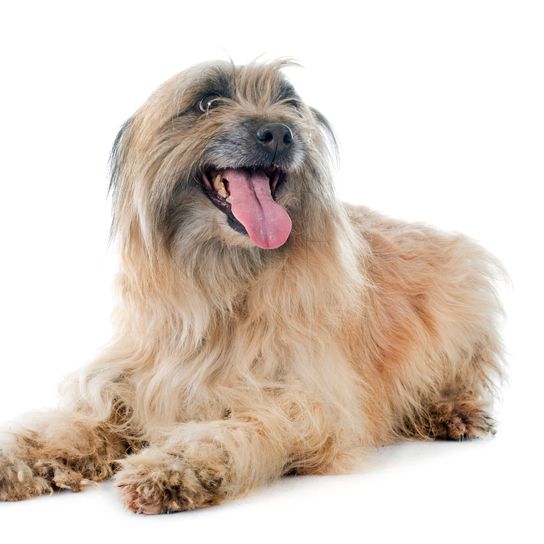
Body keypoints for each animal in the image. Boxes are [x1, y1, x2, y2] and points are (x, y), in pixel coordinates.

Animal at [0, 60, 506, 516]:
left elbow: (227, 431)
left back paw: (451, 411)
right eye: (207, 102)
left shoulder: (298, 401)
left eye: (289, 102)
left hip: (466, 291)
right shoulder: (127, 383)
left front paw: (174, 467)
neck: (222, 282)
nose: (280, 133)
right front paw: (19, 455)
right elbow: (72, 425)